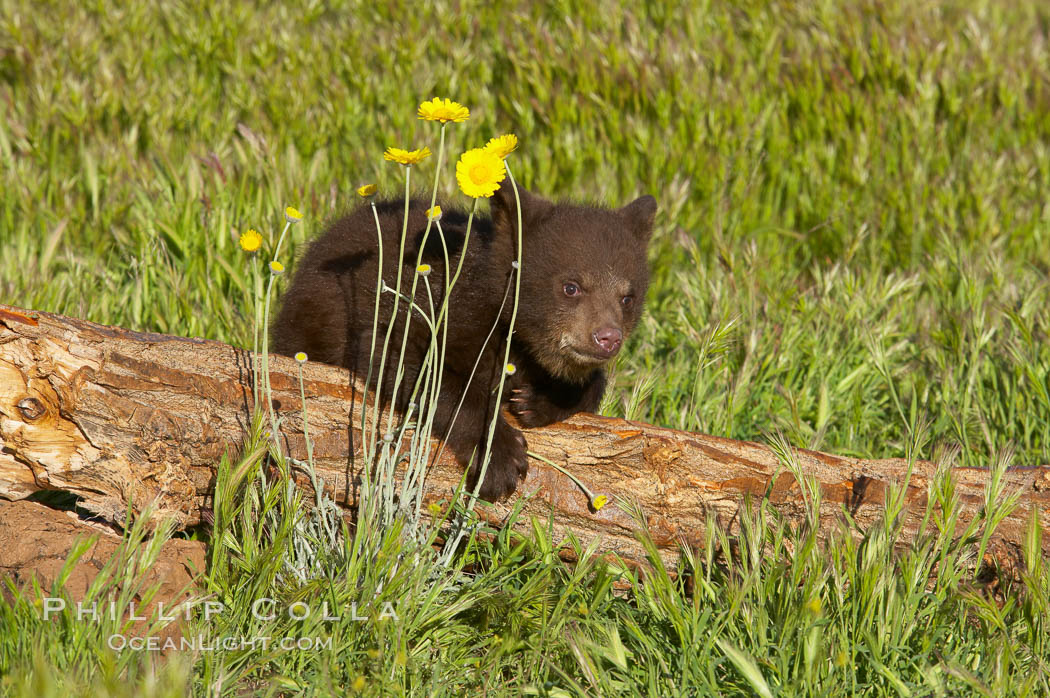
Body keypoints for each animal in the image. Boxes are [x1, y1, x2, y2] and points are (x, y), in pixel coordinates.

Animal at [272, 182, 656, 500]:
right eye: (571, 287)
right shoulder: (432, 306)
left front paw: (539, 400)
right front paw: (498, 456)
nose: (607, 338)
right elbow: (405, 357)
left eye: (628, 297)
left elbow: (591, 381)